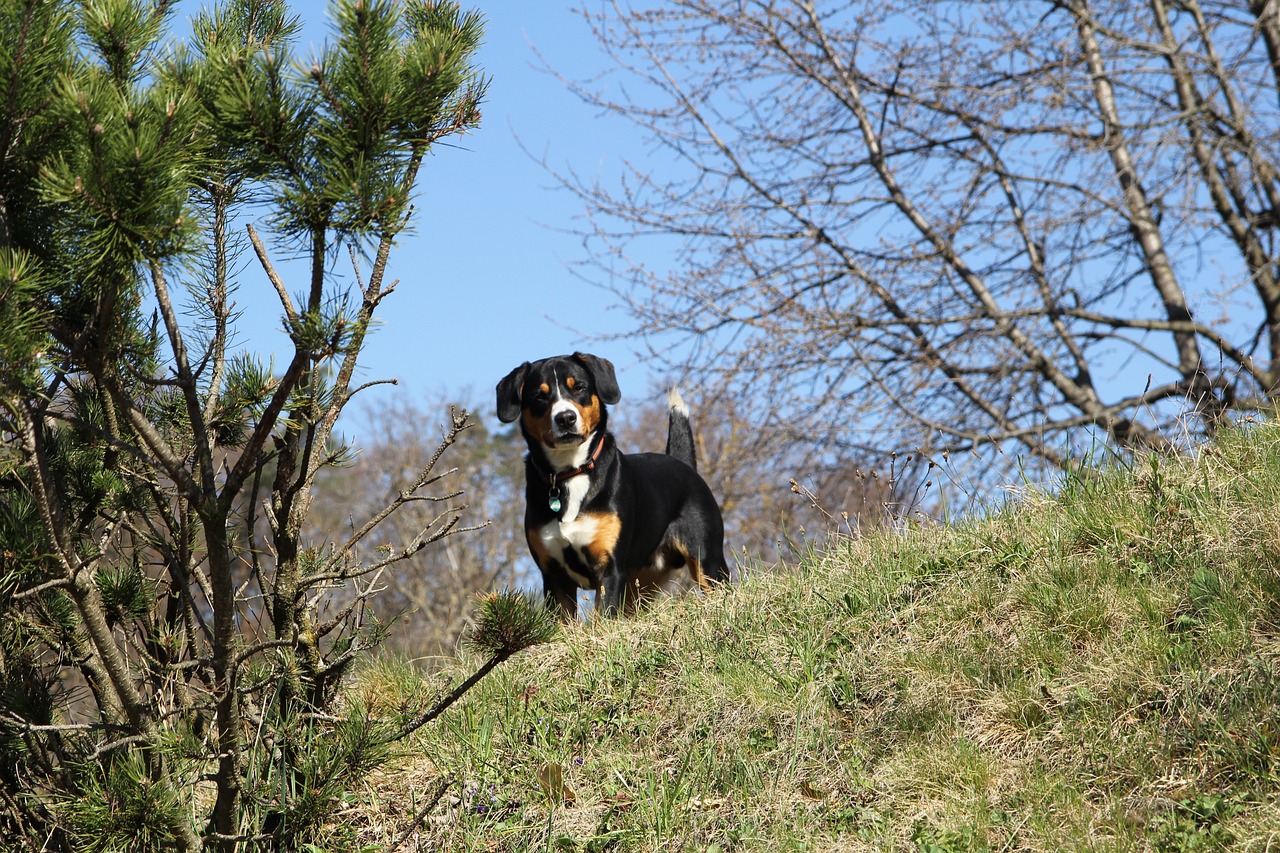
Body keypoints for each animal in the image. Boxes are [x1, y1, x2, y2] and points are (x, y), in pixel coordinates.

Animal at [491, 348, 727, 614]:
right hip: (640, 585)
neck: (571, 473)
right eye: (540, 396)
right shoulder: (554, 575)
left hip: (707, 561)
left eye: (579, 387)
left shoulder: (609, 568)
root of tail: (681, 463)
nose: (565, 418)